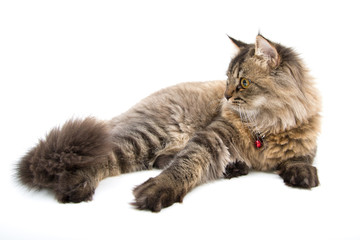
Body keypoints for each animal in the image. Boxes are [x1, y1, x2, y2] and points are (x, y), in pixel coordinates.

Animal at [16, 34, 320, 212]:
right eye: (228, 79)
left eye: (243, 82)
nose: (225, 96)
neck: (267, 127)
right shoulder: (212, 136)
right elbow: (185, 165)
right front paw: (159, 189)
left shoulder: (306, 142)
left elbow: (301, 158)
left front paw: (302, 174)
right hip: (146, 138)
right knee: (105, 158)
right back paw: (74, 186)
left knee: (158, 159)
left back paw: (234, 167)